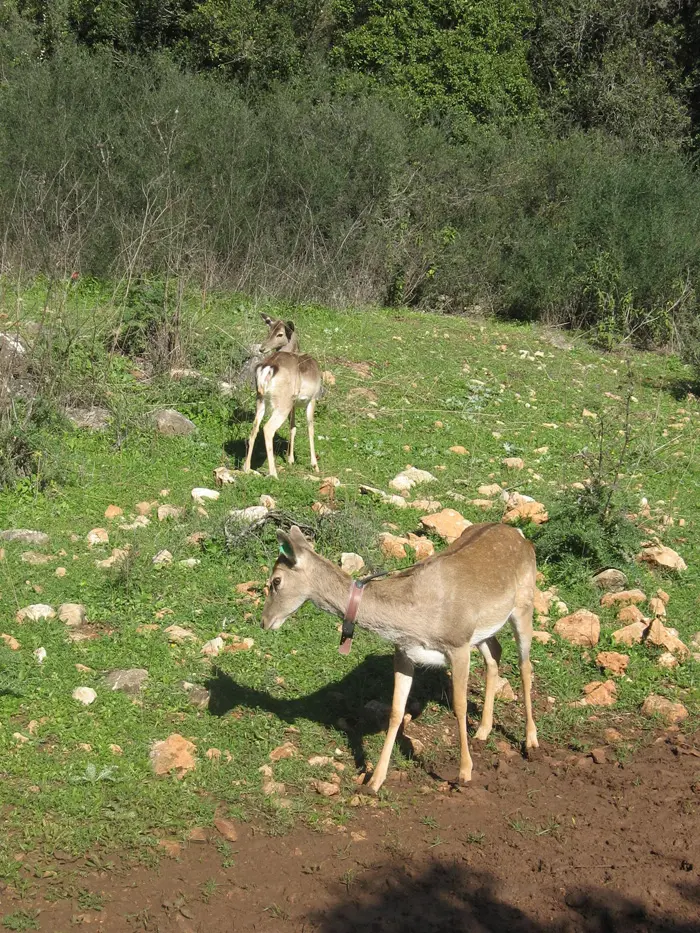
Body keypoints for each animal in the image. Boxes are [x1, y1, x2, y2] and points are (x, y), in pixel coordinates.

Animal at [260, 520, 540, 792]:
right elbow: (395, 711)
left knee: (525, 666)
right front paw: (374, 781)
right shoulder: (404, 652)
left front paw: (464, 773)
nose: (264, 622)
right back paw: (482, 730)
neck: (411, 617)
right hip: (483, 629)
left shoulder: (458, 644)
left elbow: (459, 707)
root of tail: (519, 534)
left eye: (276, 581)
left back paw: (531, 741)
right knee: (495, 653)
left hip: (524, 605)